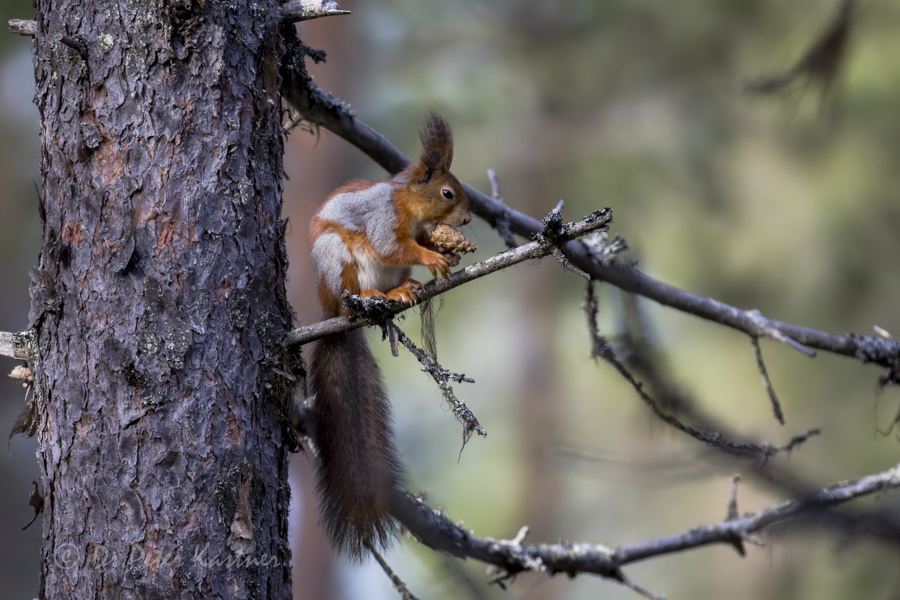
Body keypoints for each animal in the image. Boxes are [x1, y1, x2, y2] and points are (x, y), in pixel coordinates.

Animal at [308, 112, 472, 556]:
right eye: (448, 193)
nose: (468, 221)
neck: (409, 207)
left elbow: (415, 243)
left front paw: (446, 251)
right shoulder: (384, 222)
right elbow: (394, 247)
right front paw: (433, 255)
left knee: (395, 280)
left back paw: (401, 290)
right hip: (337, 261)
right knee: (353, 293)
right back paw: (365, 298)